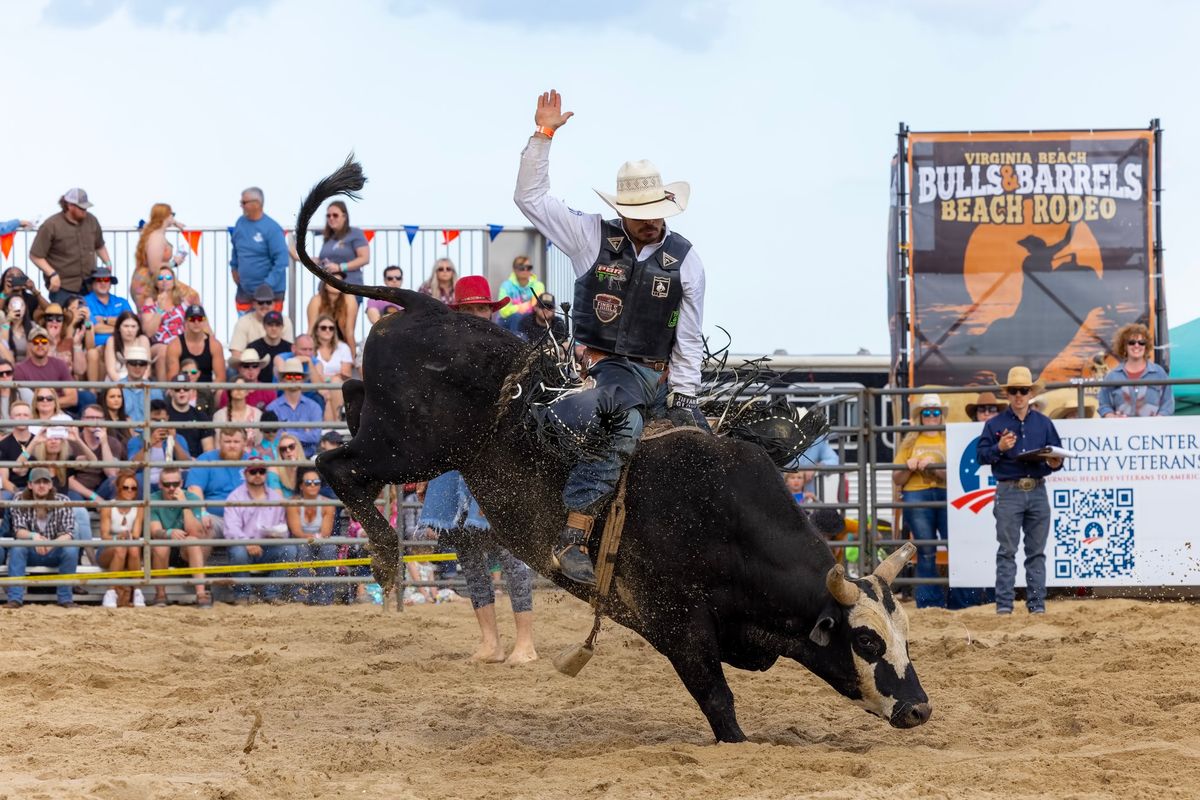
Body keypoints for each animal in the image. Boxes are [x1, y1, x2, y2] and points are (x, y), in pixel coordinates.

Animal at [295, 158, 931, 743]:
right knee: (334, 464)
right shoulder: (677, 625)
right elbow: (718, 701)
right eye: (866, 640)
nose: (919, 707)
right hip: (411, 447)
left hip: (399, 437)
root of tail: (427, 307)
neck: (723, 518)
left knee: (350, 406)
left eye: (904, 634)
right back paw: (384, 555)